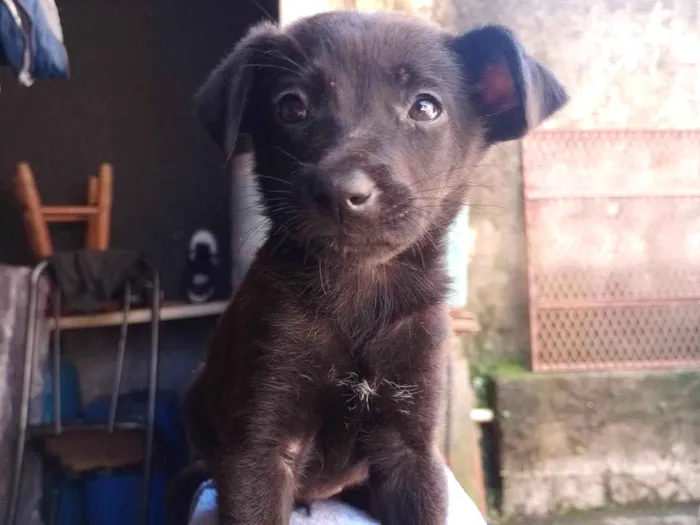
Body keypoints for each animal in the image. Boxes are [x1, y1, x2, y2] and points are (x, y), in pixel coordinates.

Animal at [182, 9, 568, 524]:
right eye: (291, 107)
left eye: (425, 107)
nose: (341, 191)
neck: (360, 290)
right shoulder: (259, 450)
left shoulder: (413, 449)